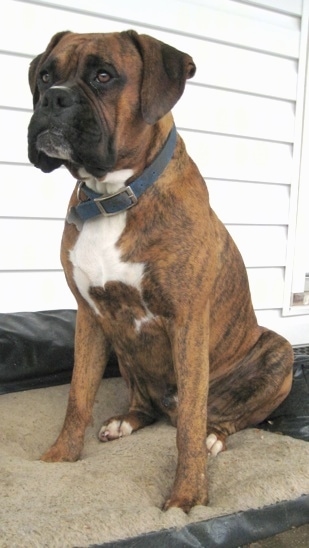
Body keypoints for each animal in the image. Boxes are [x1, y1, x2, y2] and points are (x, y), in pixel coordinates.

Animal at [27, 31, 292, 512]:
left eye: (104, 76)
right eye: (44, 76)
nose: (54, 98)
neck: (113, 196)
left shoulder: (186, 321)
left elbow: (188, 422)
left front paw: (188, 495)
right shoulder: (89, 318)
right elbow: (77, 396)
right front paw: (60, 458)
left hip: (277, 354)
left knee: (218, 417)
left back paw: (213, 435)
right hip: (125, 352)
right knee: (146, 405)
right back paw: (126, 421)